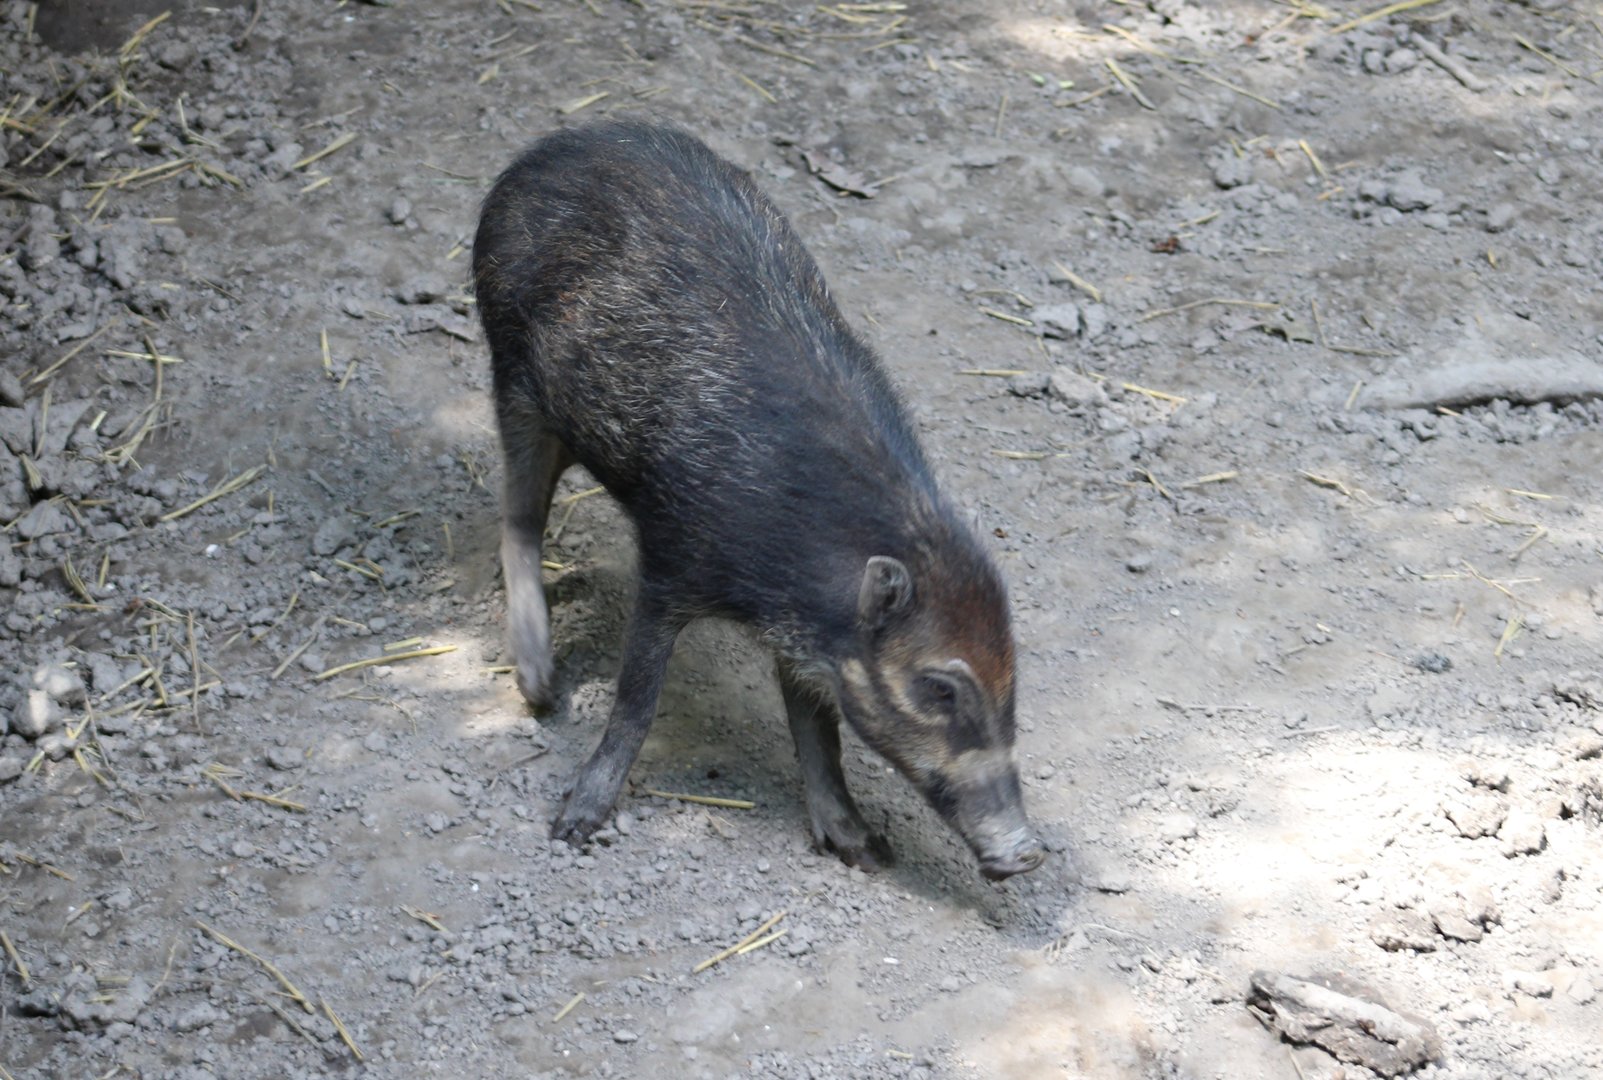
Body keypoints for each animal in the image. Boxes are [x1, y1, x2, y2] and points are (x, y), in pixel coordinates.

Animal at [472, 120, 1045, 880]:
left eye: (1013, 682)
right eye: (938, 689)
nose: (1026, 854)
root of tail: (546, 148)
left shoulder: (810, 644)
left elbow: (817, 728)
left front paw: (862, 848)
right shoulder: (671, 564)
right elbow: (636, 699)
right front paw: (574, 825)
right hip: (511, 376)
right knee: (518, 518)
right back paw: (538, 687)